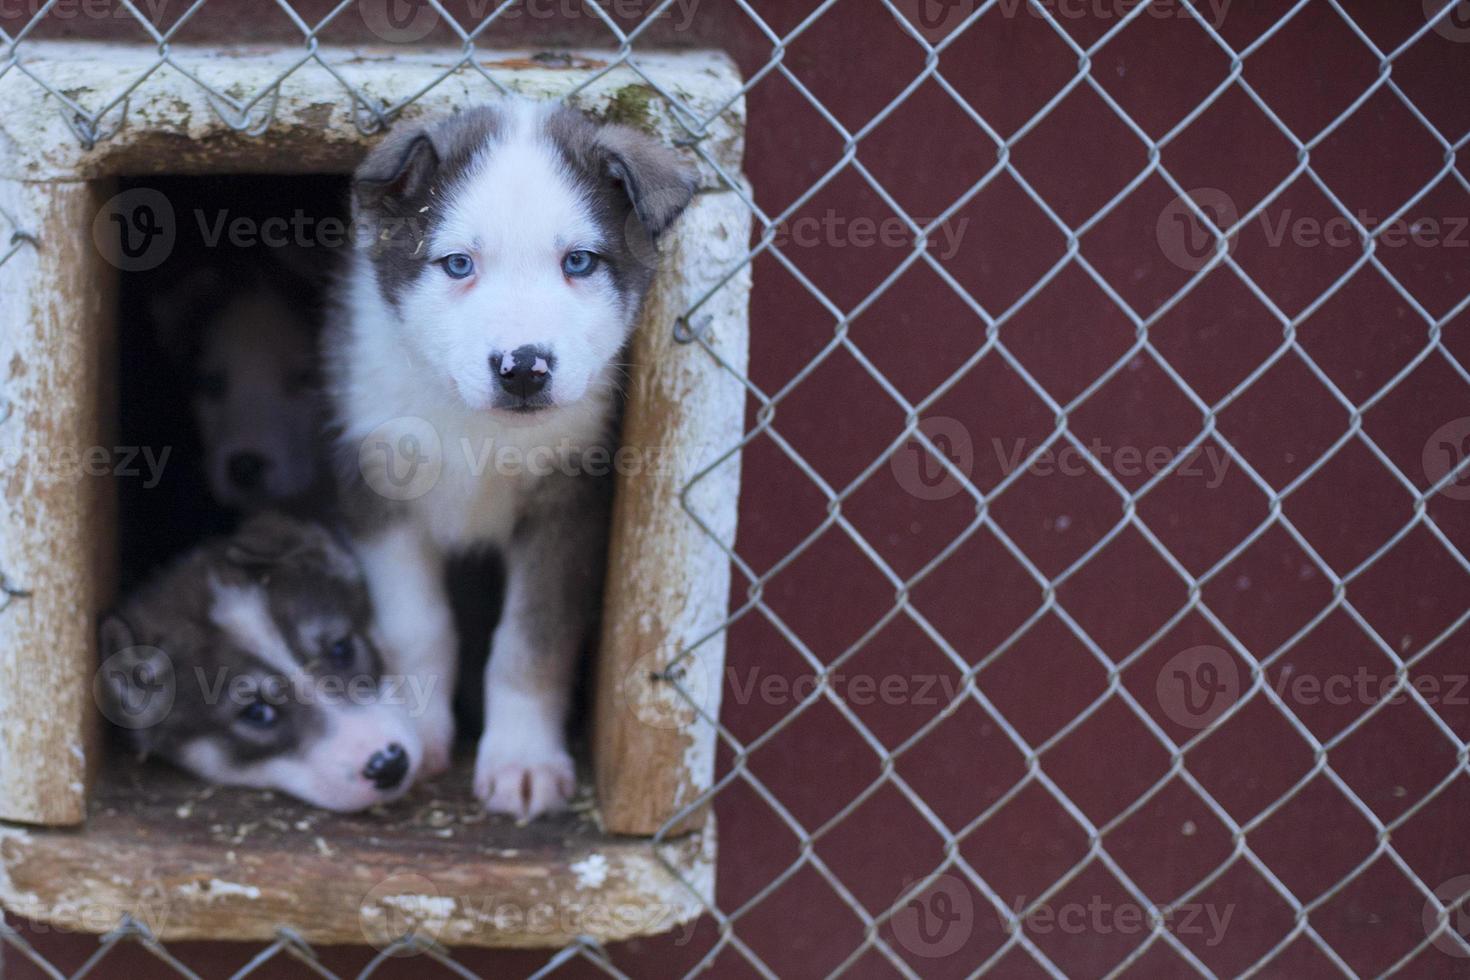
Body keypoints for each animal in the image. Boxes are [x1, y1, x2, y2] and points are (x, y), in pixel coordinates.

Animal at [330, 99, 696, 822]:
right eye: (457, 264)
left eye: (579, 262)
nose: (523, 368)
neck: (477, 426)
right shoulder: (374, 483)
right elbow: (416, 627)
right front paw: (416, 728)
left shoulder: (570, 503)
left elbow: (532, 641)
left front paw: (521, 760)